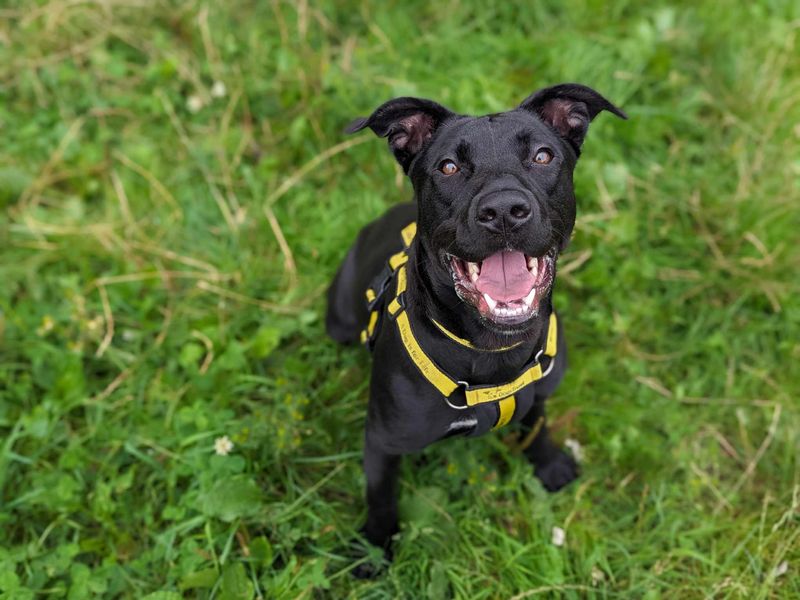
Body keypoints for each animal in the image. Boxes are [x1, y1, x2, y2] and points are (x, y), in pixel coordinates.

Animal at [324, 82, 624, 576]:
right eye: (448, 166)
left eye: (542, 156)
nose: (503, 210)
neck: (489, 350)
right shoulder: (383, 441)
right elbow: (381, 499)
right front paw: (373, 548)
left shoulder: (539, 390)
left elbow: (537, 426)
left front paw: (549, 466)